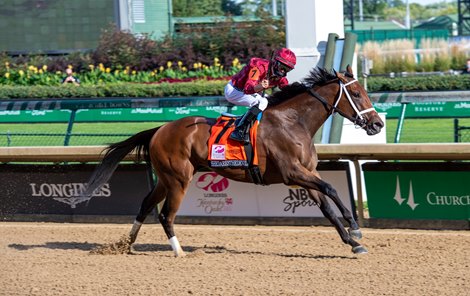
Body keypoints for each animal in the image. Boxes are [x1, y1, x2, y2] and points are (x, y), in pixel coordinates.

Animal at [84, 66, 384, 256]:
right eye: (356, 94)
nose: (378, 124)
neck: (293, 122)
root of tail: (159, 129)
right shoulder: (293, 172)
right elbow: (332, 190)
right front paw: (355, 227)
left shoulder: (307, 173)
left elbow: (327, 207)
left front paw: (352, 242)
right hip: (178, 180)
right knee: (166, 214)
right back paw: (179, 252)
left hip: (166, 179)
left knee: (146, 205)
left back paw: (126, 244)